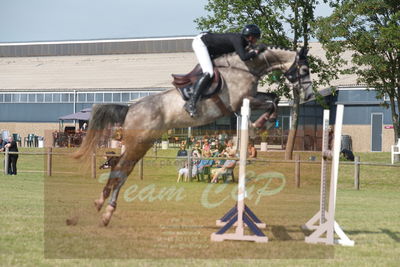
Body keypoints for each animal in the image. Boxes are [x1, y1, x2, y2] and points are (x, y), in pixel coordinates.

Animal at [73, 45, 314, 226]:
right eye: (304, 70)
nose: (309, 96)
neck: (246, 68)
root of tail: (130, 108)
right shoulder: (241, 102)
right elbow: (271, 102)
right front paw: (257, 125)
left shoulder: (250, 98)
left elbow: (273, 98)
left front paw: (261, 124)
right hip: (138, 143)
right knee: (120, 169)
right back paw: (104, 207)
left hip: (143, 143)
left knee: (122, 169)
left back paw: (103, 207)